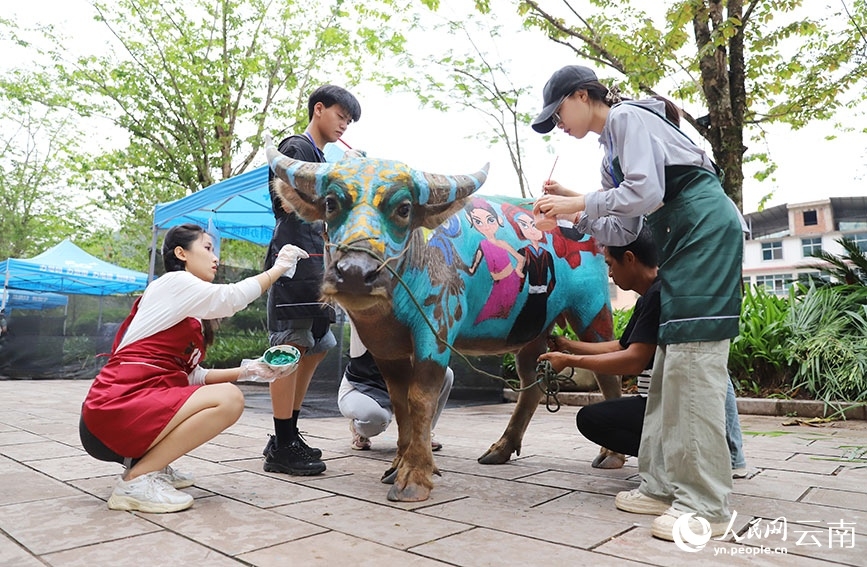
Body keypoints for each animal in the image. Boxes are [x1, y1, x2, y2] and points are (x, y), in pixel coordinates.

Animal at [264, 138, 616, 502]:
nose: (355, 272)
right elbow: (399, 402)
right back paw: (501, 450)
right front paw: (396, 467)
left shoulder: (436, 331)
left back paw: (610, 455)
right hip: (533, 332)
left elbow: (421, 399)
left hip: (592, 309)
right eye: (331, 203)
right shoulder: (385, 348)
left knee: (608, 370)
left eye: (404, 208)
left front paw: (415, 477)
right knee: (530, 385)